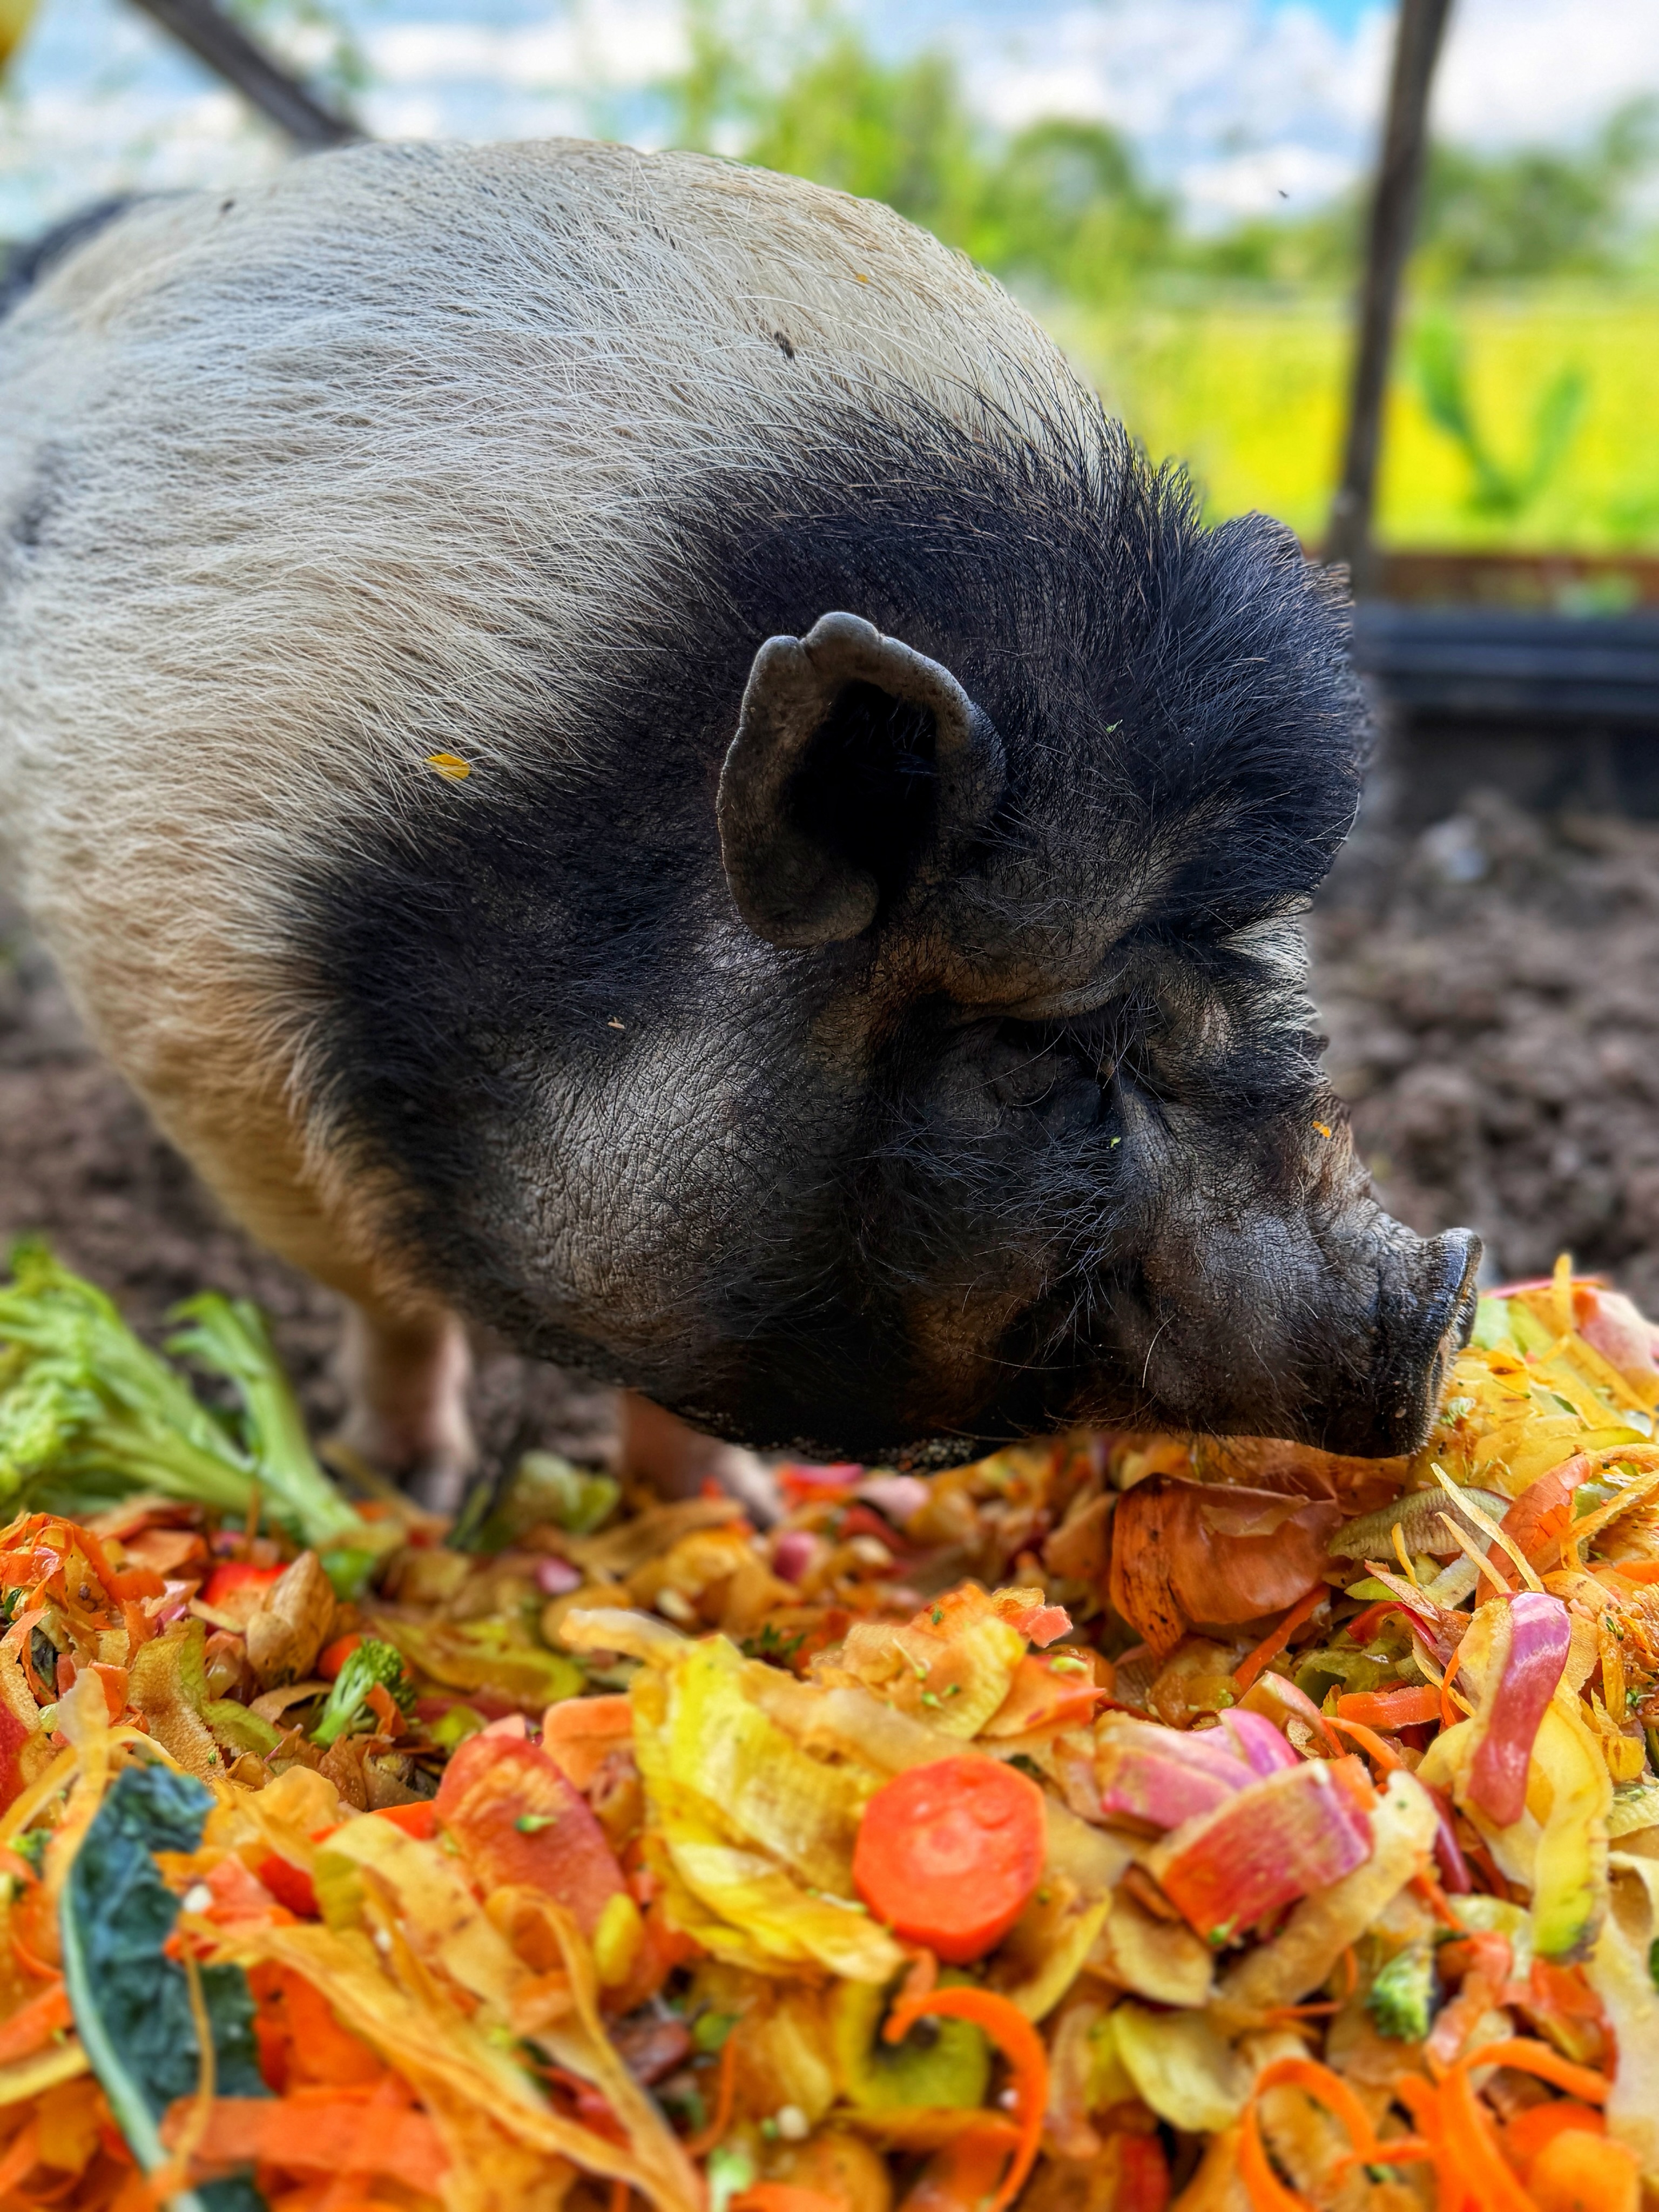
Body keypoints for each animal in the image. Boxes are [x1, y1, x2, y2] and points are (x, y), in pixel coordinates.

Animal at [0, 139, 1479, 1505]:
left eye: (1278, 1005)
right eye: (1045, 1050)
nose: (1445, 1291)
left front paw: (728, 1513)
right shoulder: (225, 1059)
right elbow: (392, 1308)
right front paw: (405, 1493)